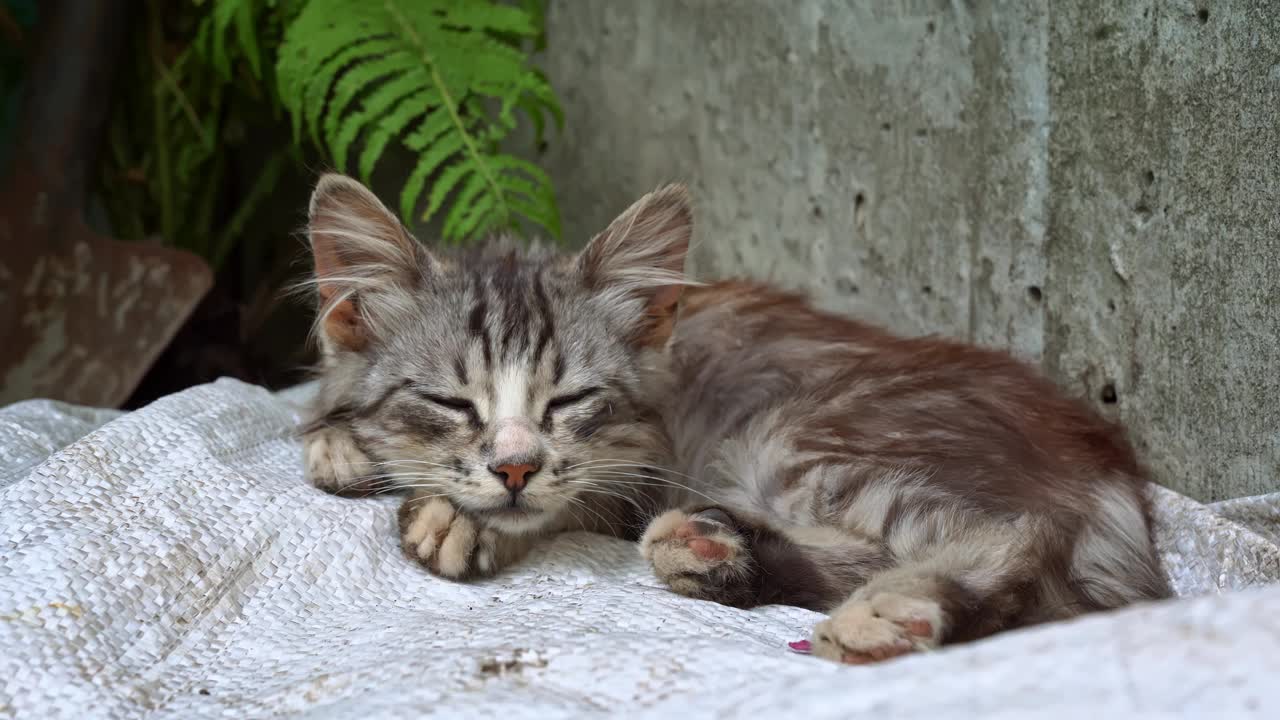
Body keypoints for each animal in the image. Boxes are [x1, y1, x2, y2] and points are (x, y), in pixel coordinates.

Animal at [296, 172, 1172, 661]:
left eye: (569, 401)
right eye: (451, 401)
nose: (514, 466)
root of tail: (1108, 470)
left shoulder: (638, 467)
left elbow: (570, 497)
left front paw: (462, 515)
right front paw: (339, 445)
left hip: (798, 437)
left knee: (1011, 541)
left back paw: (885, 612)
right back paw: (715, 549)